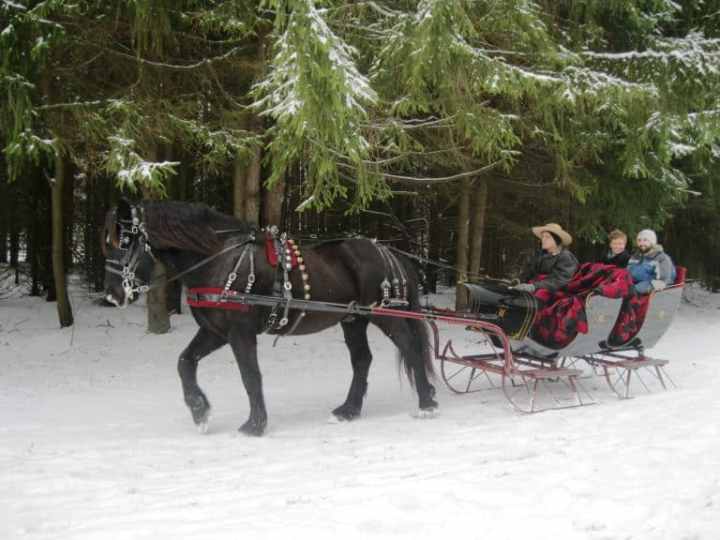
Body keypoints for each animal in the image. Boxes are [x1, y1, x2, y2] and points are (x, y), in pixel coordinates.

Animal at [101, 198, 438, 434]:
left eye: (125, 241)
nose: (113, 295)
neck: (218, 259)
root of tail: (390, 253)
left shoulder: (240, 332)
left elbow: (250, 376)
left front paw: (255, 424)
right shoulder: (215, 332)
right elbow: (185, 362)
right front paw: (200, 411)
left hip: (385, 315)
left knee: (410, 348)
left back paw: (426, 404)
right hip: (353, 320)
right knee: (362, 360)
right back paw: (348, 410)